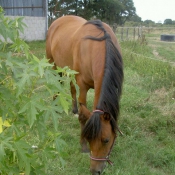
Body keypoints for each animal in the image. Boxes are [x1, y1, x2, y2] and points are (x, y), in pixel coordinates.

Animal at [45, 15, 123, 174]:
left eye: (106, 140)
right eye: (88, 138)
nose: (95, 171)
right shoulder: (83, 86)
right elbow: (83, 116)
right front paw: (83, 146)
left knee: (71, 87)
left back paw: (73, 109)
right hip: (53, 64)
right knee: (55, 82)